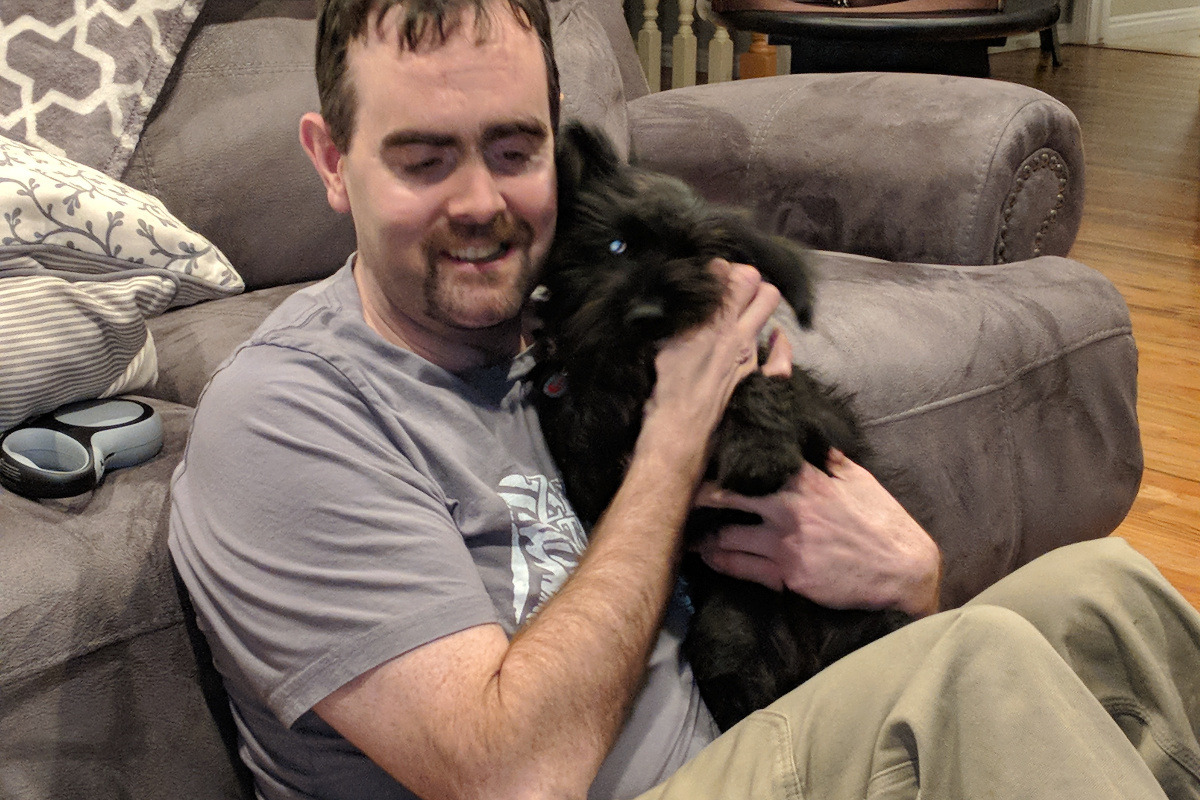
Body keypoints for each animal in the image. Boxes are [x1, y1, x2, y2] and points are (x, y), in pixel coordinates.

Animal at [529, 121, 910, 731]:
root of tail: (806, 658)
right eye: (616, 246)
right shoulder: (594, 475)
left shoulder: (821, 419)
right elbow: (586, 411)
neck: (643, 382)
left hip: (870, 619)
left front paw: (757, 456)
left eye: (699, 256)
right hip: (727, 639)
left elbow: (755, 386)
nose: (649, 317)